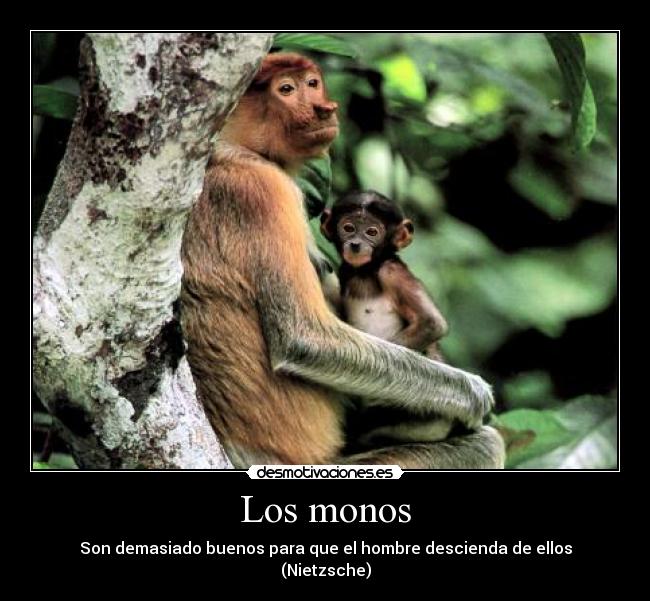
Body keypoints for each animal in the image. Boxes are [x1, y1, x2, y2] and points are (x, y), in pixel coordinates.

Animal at [320, 190, 466, 449]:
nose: (355, 244)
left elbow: (431, 324)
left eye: (372, 232)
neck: (366, 271)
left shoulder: (393, 273)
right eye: (348, 228)